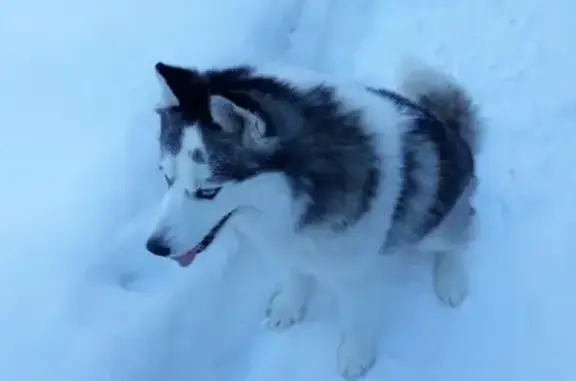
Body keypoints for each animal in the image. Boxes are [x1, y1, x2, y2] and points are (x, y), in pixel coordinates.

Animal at [146, 60, 480, 378]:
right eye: (166, 178)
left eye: (208, 191)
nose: (155, 247)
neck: (296, 194)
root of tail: (454, 134)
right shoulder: (288, 242)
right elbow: (295, 274)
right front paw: (289, 305)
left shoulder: (352, 272)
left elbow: (355, 318)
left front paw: (355, 356)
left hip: (433, 217)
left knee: (458, 237)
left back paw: (450, 278)